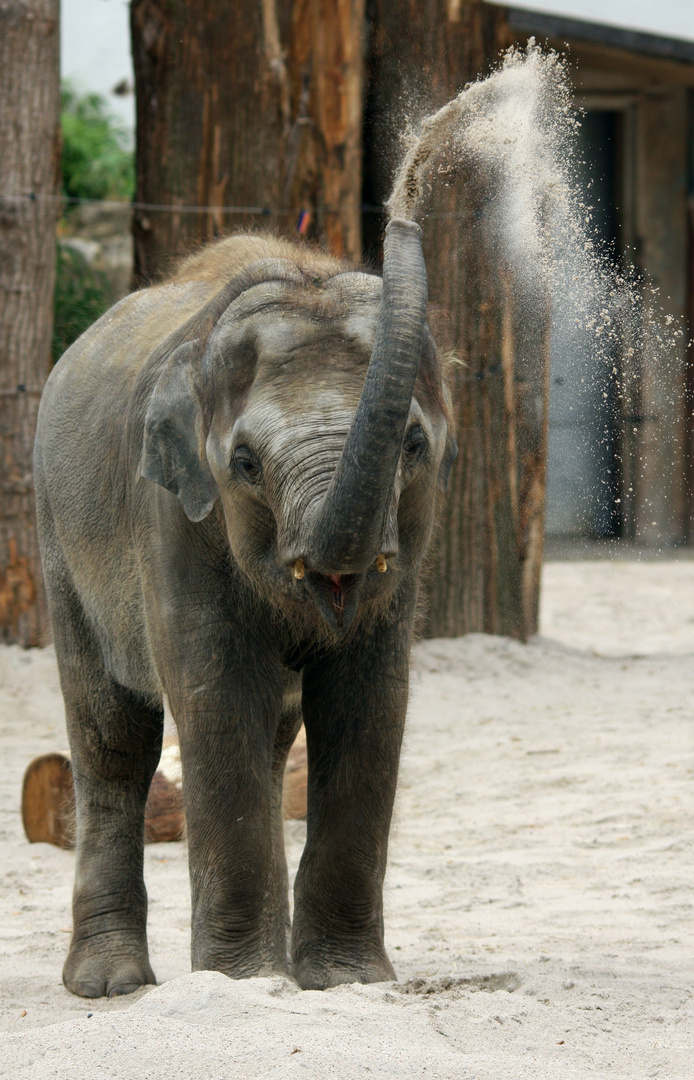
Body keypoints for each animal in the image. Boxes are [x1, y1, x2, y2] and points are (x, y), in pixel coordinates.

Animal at [33, 217, 455, 993]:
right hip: (55, 531)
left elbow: (369, 700)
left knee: (273, 735)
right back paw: (110, 983)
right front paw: (240, 982)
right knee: (112, 738)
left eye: (414, 445)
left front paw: (347, 982)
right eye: (246, 464)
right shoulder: (169, 514)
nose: (401, 217)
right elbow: (217, 695)